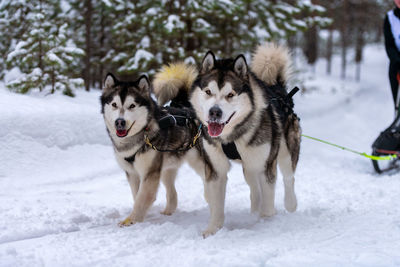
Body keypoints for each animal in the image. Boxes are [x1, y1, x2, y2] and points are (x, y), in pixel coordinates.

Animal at [101, 74, 202, 228]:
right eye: (114, 104)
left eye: (132, 105)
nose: (120, 122)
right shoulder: (132, 173)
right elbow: (137, 194)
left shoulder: (149, 172)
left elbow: (142, 197)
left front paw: (131, 220)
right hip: (166, 168)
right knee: (172, 191)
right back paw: (169, 210)